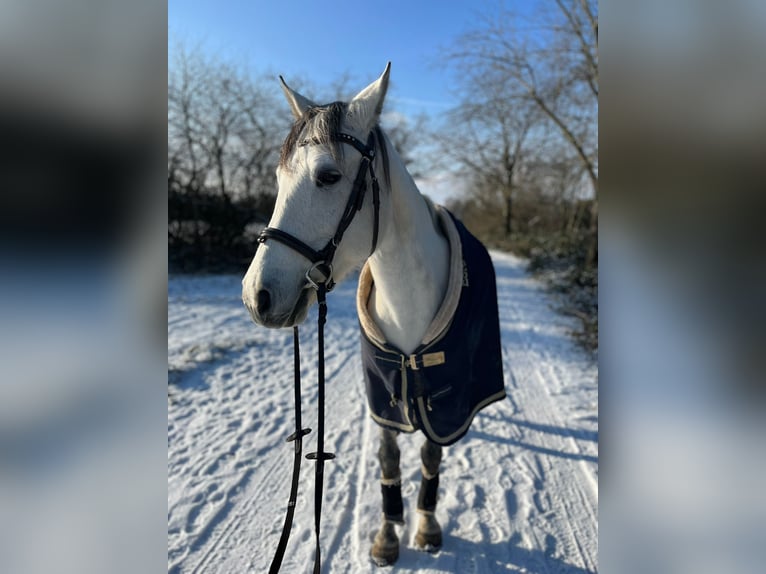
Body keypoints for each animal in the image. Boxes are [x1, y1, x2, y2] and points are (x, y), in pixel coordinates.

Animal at [242, 63, 505, 566]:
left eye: (328, 176)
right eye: (279, 178)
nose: (256, 296)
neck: (407, 305)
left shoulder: (443, 397)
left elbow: (431, 456)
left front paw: (425, 526)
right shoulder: (386, 392)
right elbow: (388, 458)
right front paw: (387, 535)